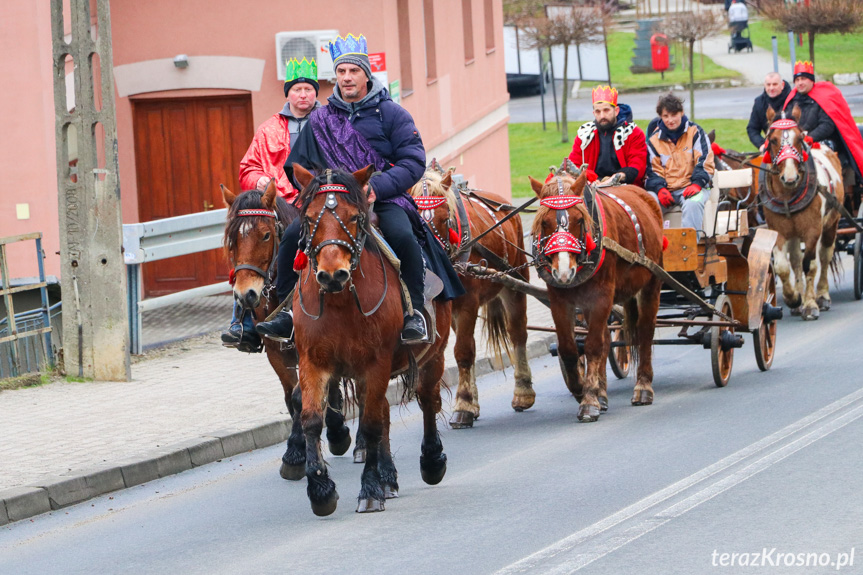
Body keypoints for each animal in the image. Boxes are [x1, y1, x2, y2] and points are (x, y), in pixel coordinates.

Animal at [223, 180, 358, 482]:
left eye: (265, 235)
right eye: (232, 240)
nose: (246, 295)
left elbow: (300, 396)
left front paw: (295, 454)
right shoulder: (276, 351)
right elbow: (290, 396)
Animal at [290, 164, 452, 516]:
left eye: (354, 217)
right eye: (308, 218)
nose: (332, 274)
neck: (341, 301)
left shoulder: (377, 362)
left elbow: (373, 424)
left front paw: (369, 489)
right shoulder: (312, 362)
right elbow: (312, 419)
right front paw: (320, 490)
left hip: (433, 356)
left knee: (427, 400)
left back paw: (431, 461)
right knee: (383, 411)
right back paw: (388, 476)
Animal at [406, 166, 532, 428]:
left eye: (445, 218)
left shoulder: (467, 304)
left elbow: (463, 352)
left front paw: (463, 404)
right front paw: (466, 402)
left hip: (514, 282)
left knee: (517, 334)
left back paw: (523, 392)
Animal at [528, 164, 664, 420]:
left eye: (579, 219)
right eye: (544, 222)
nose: (564, 272)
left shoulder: (602, 296)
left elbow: (592, 346)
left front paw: (589, 400)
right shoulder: (559, 299)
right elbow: (570, 348)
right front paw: (582, 389)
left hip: (652, 281)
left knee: (645, 331)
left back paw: (643, 387)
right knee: (605, 339)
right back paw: (602, 392)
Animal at [764, 106, 844, 322]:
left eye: (799, 138)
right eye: (772, 140)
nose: (790, 177)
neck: (788, 194)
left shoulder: (812, 230)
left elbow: (811, 265)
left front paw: (810, 305)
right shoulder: (778, 231)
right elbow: (783, 266)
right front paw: (793, 299)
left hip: (831, 224)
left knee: (824, 256)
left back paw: (822, 296)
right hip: (793, 234)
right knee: (795, 261)